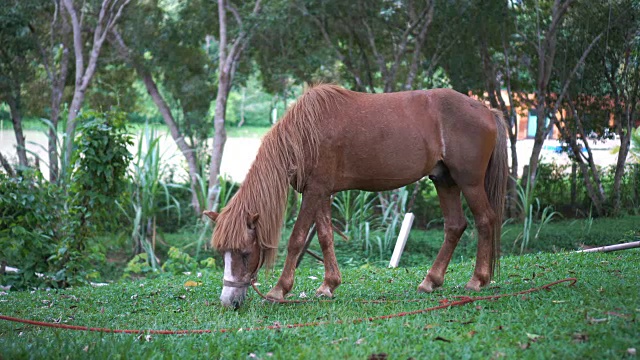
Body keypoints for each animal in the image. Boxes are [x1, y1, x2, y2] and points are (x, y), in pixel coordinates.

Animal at [202, 83, 508, 306]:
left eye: (244, 253)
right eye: (222, 253)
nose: (228, 301)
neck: (305, 134)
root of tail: (487, 110)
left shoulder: (314, 192)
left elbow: (297, 238)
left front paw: (279, 290)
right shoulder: (321, 192)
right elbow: (325, 237)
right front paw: (328, 285)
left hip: (469, 182)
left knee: (485, 220)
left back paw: (477, 280)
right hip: (444, 180)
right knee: (455, 226)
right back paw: (430, 281)